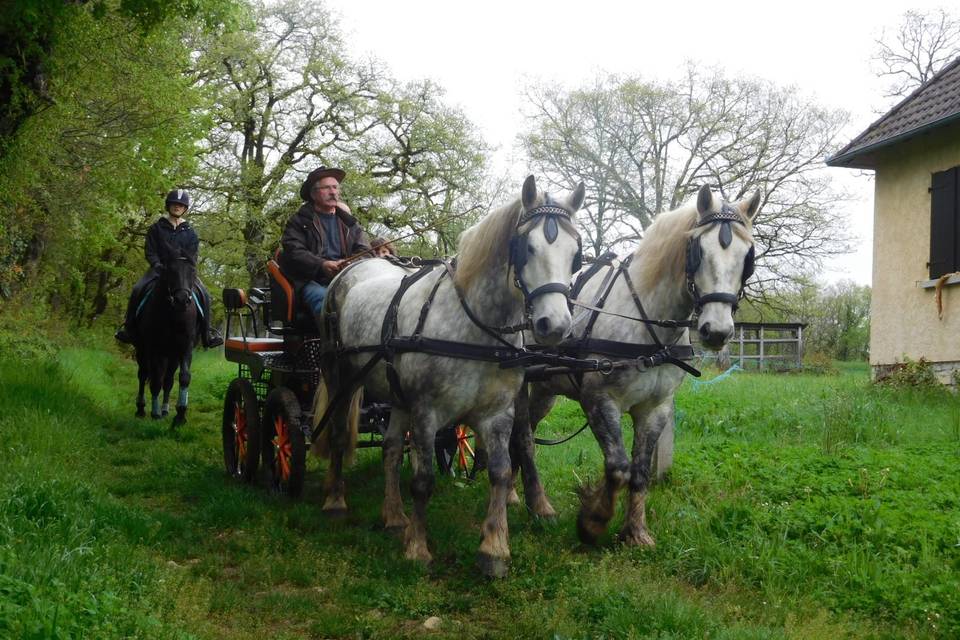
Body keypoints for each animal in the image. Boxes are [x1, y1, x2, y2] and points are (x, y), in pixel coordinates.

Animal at [134, 252, 196, 428]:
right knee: (143, 375)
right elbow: (155, 381)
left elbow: (184, 377)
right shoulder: (154, 349)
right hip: (142, 350)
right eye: (170, 271)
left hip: (172, 356)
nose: (182, 300)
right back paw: (141, 409)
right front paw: (154, 414)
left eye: (193, 272)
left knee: (168, 380)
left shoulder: (186, 348)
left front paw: (180, 415)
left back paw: (165, 410)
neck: (173, 315)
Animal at [316, 176, 584, 580]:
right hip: (341, 376)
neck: (476, 329)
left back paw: (394, 515)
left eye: (575, 254)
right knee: (335, 434)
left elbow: (500, 472)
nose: (554, 326)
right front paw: (417, 549)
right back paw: (335, 501)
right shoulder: (428, 413)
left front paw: (494, 549)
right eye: (527, 247)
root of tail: (350, 270)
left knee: (391, 448)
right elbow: (423, 480)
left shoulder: (497, 414)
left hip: (397, 393)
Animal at [510, 185, 756, 544]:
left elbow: (639, 471)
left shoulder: (656, 407)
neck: (647, 323)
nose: (718, 331)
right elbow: (618, 467)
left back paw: (517, 494)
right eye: (699, 251)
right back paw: (531, 503)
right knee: (522, 437)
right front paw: (593, 520)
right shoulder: (600, 400)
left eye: (747, 258)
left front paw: (636, 532)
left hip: (545, 390)